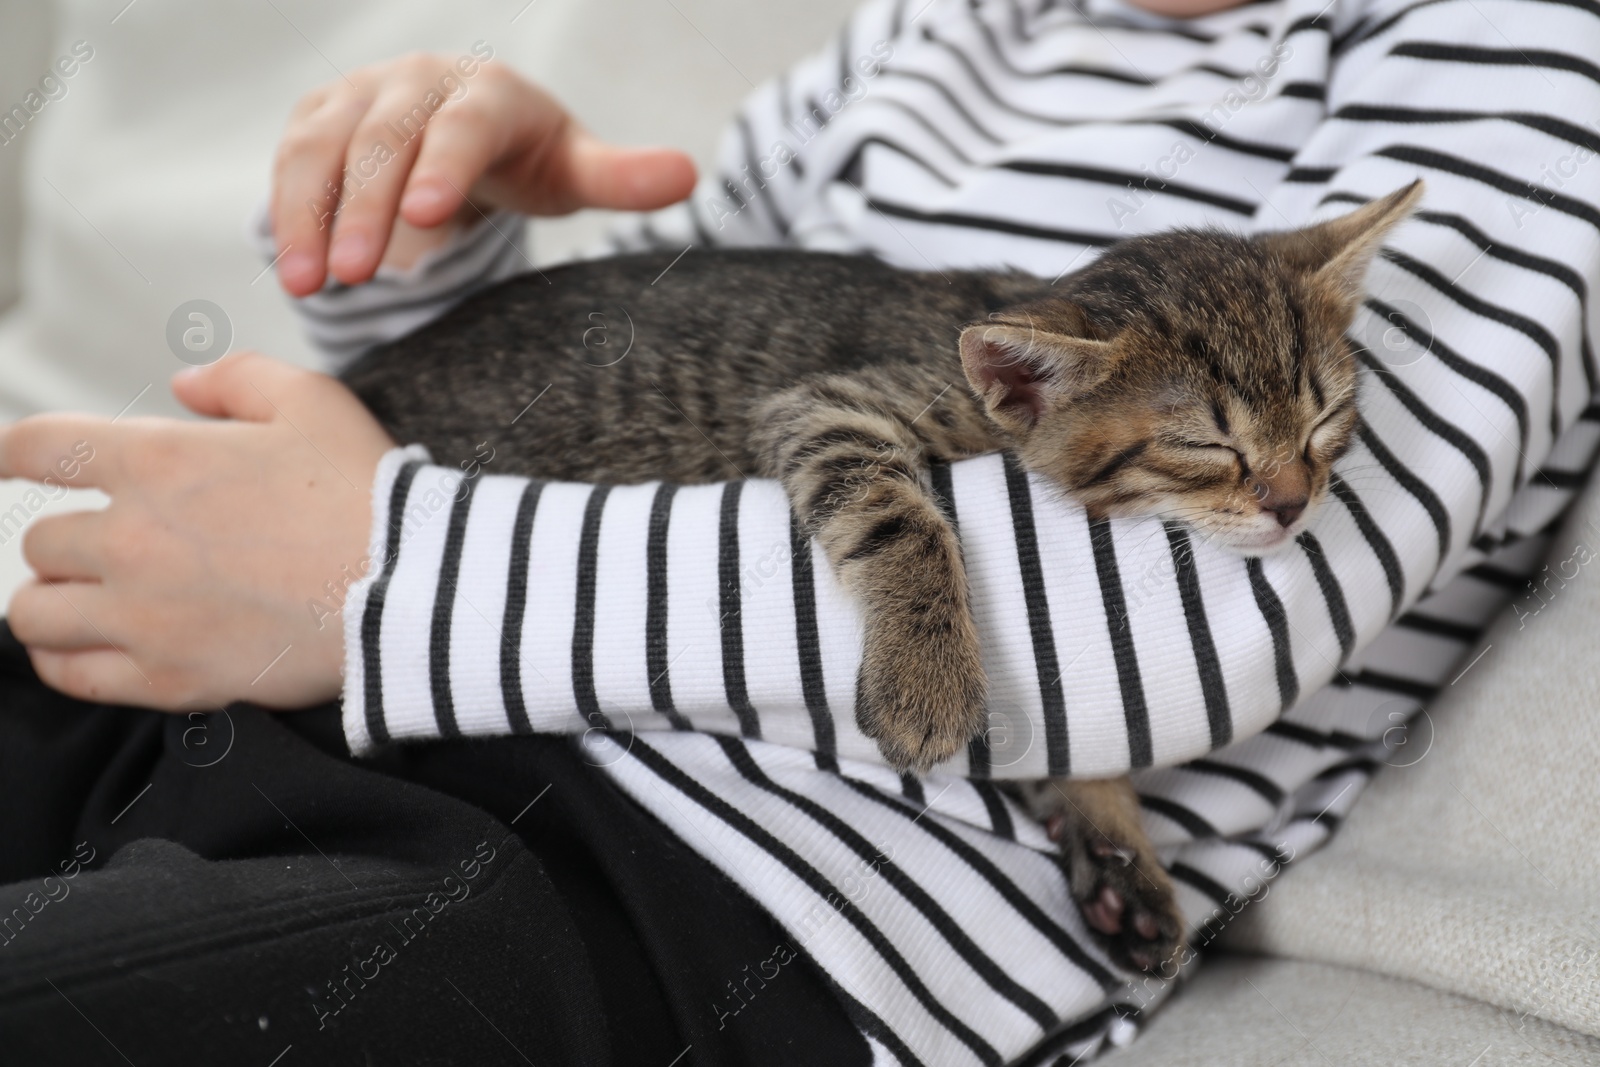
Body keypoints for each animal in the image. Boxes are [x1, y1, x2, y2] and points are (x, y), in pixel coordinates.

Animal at [347, 179, 1427, 972]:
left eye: (1325, 419)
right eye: (1208, 444)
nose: (1291, 501)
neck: (988, 403)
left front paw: (1112, 839)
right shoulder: (830, 406)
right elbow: (897, 516)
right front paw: (927, 681)